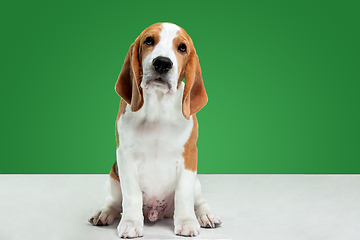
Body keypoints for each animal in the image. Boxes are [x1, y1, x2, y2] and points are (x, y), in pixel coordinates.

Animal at [88, 22, 221, 238]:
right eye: (149, 41)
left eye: (182, 47)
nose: (162, 63)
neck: (158, 109)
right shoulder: (125, 156)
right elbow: (132, 195)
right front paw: (131, 223)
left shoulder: (189, 157)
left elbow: (184, 194)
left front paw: (186, 222)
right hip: (113, 178)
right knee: (114, 203)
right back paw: (104, 213)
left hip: (197, 184)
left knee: (199, 201)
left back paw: (206, 215)